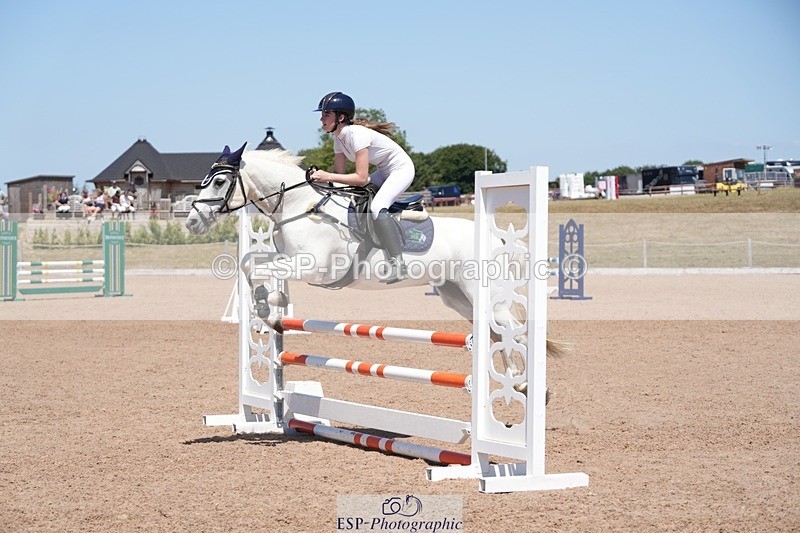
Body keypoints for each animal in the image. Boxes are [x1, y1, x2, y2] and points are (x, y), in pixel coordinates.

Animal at [185, 145, 567, 392]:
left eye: (219, 182)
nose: (191, 222)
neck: (298, 205)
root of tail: (496, 238)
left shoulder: (312, 268)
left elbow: (263, 270)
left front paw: (268, 308)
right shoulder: (287, 260)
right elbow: (250, 264)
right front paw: (269, 310)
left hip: (485, 295)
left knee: (514, 331)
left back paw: (524, 385)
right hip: (457, 296)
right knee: (495, 334)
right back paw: (516, 384)